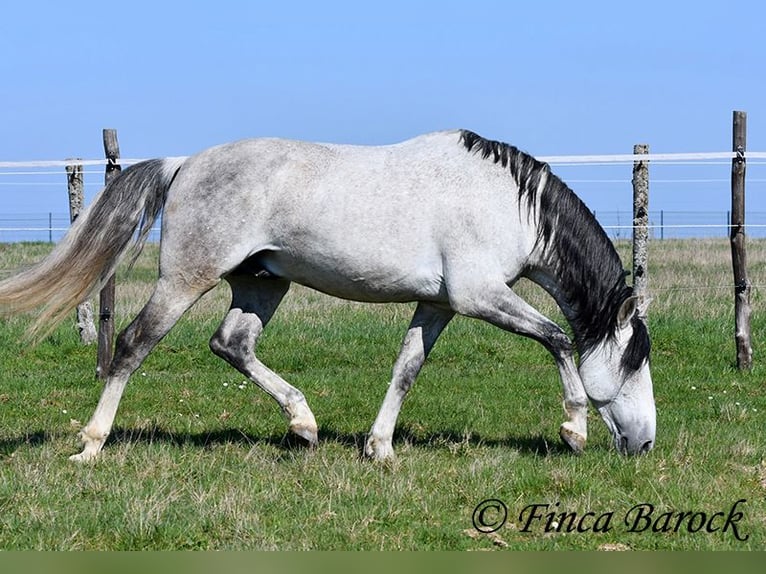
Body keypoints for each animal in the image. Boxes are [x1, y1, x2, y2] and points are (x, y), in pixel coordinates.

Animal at [0, 129, 655, 461]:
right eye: (633, 361)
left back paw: (304, 424)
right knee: (134, 345)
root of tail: (184, 163)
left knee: (231, 344)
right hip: (186, 277)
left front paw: (379, 448)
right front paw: (574, 428)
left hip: (262, 282)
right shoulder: (479, 296)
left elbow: (406, 369)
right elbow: (558, 339)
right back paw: (91, 445)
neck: (510, 203)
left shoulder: (439, 303)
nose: (645, 443)